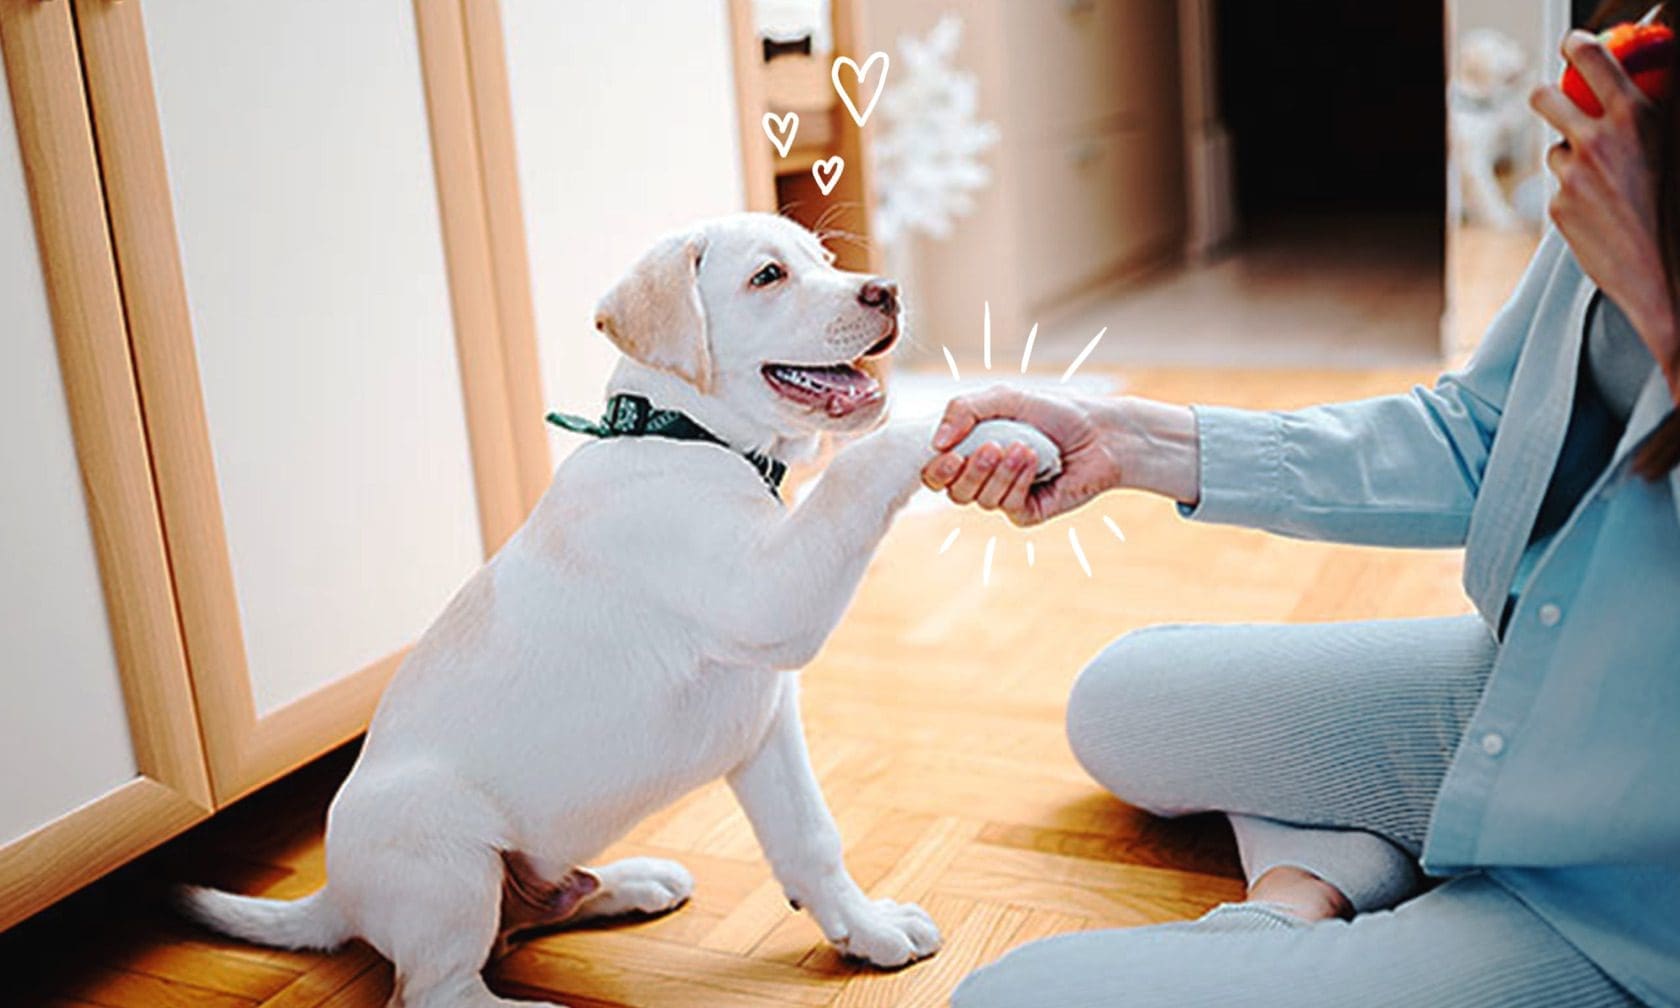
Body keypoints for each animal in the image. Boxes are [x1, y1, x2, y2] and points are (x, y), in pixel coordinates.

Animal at [180, 214, 960, 1007]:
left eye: (826, 258)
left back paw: (632, 882)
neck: (682, 433)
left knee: (525, 919)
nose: (887, 291)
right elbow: (854, 469)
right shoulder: (770, 596)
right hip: (445, 849)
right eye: (768, 276)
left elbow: (811, 838)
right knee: (438, 989)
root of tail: (336, 895)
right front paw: (945, 419)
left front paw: (865, 929)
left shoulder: (765, 723)